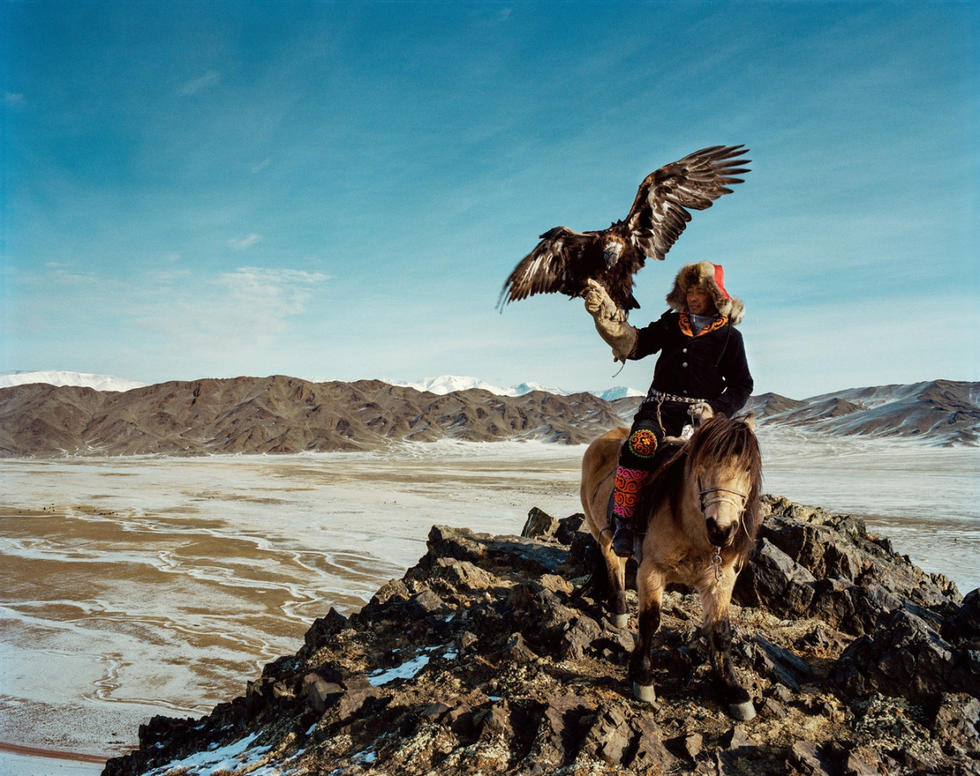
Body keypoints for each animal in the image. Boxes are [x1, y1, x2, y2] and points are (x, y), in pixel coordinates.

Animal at [580, 412, 764, 720]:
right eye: (702, 464)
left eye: (748, 467)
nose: (721, 530)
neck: (693, 533)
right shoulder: (652, 570)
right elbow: (650, 620)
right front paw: (642, 677)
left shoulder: (721, 580)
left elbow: (720, 632)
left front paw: (733, 691)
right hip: (600, 530)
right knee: (613, 561)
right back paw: (619, 609)